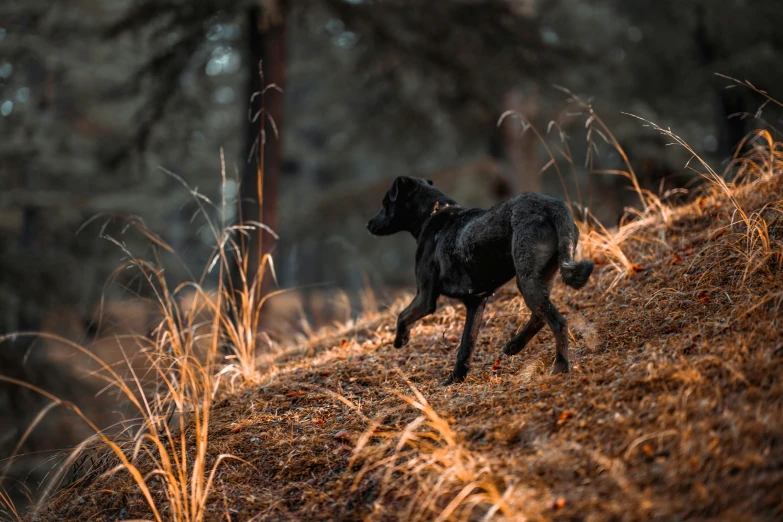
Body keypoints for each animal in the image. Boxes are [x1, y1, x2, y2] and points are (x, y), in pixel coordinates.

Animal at [368, 177, 596, 384]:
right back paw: (514, 345)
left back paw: (560, 366)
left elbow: (401, 316)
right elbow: (466, 345)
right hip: (542, 275)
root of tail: (553, 207)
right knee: (540, 316)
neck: (433, 214)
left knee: (558, 322)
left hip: (526, 278)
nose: (368, 224)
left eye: (385, 203)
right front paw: (456, 379)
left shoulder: (425, 298)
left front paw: (400, 339)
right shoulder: (475, 302)